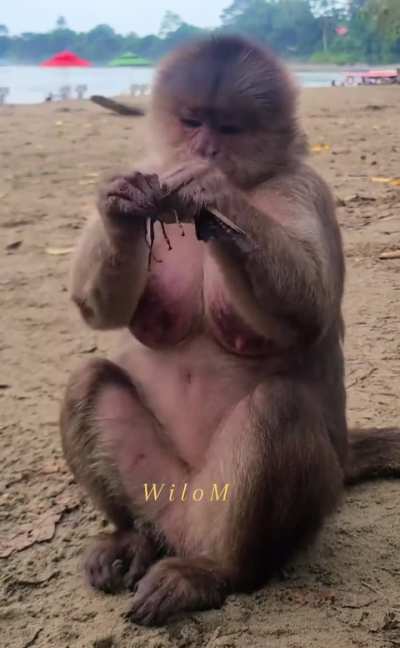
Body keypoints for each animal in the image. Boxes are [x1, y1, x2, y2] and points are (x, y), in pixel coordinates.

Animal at [60, 35, 400, 626]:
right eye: (194, 121)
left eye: (229, 128)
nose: (205, 150)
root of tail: (181, 524)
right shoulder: (155, 166)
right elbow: (96, 311)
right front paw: (120, 207)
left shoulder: (305, 189)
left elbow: (312, 308)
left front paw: (214, 192)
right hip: (159, 487)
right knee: (89, 381)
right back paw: (131, 536)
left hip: (226, 507)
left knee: (279, 408)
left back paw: (217, 573)